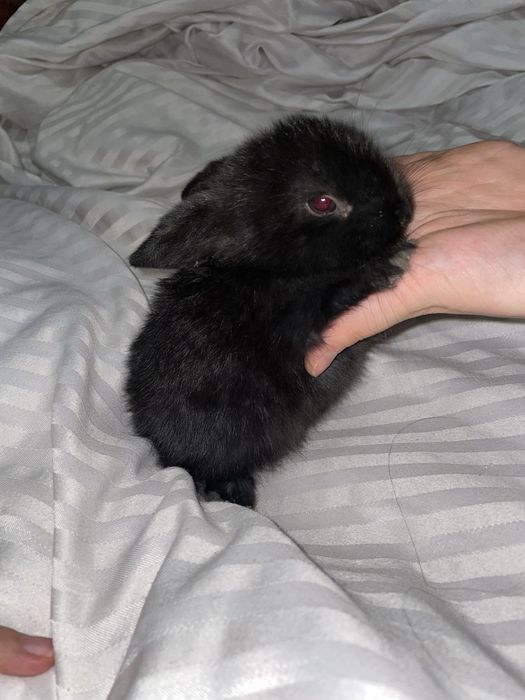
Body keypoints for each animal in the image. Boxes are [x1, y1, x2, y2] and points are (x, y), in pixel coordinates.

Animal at [126, 114, 413, 507]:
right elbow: (332, 294)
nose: (403, 210)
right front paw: (390, 265)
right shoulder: (296, 321)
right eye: (322, 202)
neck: (274, 270)